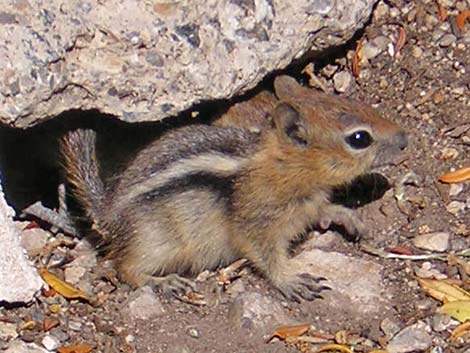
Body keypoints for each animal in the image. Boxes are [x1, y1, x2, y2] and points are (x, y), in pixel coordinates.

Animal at [62, 75, 408, 302]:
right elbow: (264, 255)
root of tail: (108, 212)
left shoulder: (309, 204)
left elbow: (325, 210)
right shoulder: (255, 223)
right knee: (124, 268)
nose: (406, 139)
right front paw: (291, 281)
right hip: (154, 241)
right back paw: (164, 282)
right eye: (359, 138)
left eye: (350, 101)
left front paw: (349, 218)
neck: (284, 168)